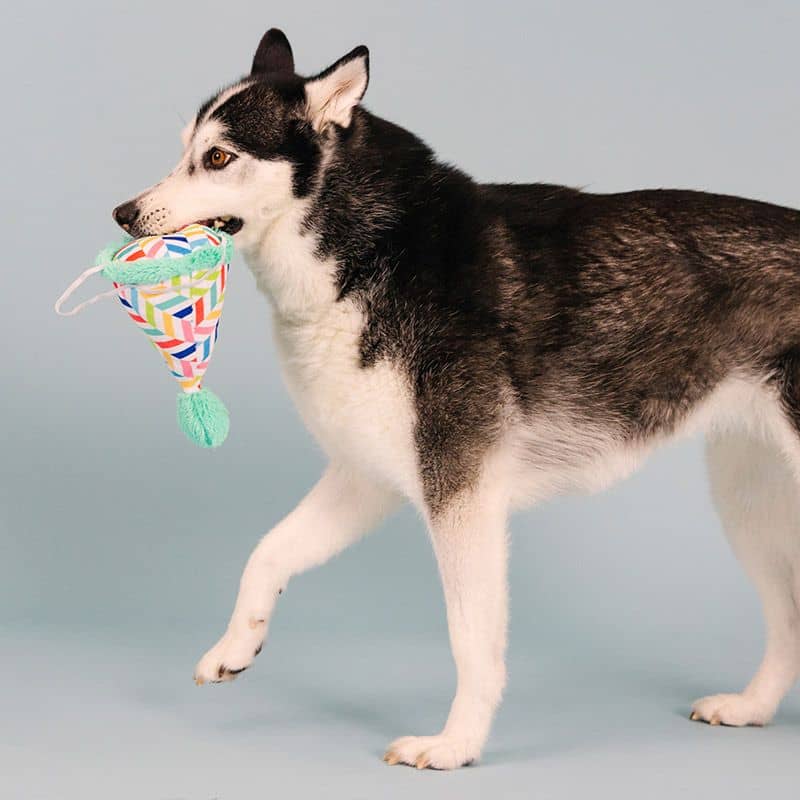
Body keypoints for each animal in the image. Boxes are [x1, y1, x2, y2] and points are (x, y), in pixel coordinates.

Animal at [111, 29, 800, 768]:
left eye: (217, 157)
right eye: (185, 149)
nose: (122, 213)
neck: (376, 249)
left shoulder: (461, 495)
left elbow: (470, 638)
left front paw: (456, 744)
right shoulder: (366, 479)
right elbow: (266, 552)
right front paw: (236, 645)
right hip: (748, 503)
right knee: (789, 615)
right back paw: (752, 707)